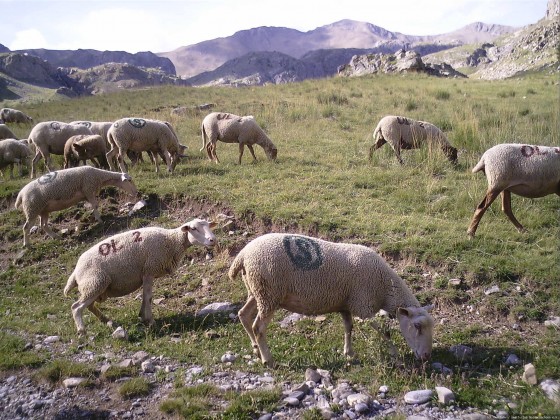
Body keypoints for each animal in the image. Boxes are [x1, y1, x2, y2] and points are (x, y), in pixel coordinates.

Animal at [63, 220, 217, 334]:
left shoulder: (146, 273)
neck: (172, 241)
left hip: (95, 286)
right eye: (194, 228)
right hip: (95, 283)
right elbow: (148, 297)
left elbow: (145, 297)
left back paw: (107, 321)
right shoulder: (149, 270)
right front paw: (150, 321)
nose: (212, 240)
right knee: (76, 307)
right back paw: (82, 331)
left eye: (209, 226)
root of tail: (75, 271)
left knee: (89, 306)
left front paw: (142, 317)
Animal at [230, 233, 436, 368]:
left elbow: (348, 328)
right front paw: (396, 354)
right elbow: (384, 332)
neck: (385, 287)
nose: (427, 356)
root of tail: (243, 254)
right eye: (417, 326)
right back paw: (268, 359)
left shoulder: (346, 304)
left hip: (257, 291)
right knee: (258, 327)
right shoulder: (363, 305)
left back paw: (256, 349)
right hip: (268, 293)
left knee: (243, 315)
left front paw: (349, 353)